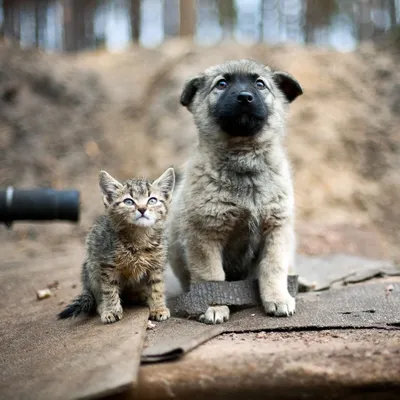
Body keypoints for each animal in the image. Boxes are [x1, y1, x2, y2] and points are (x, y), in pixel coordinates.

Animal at [57, 167, 175, 324]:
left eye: (152, 200)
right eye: (128, 201)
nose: (142, 209)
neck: (139, 238)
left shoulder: (157, 264)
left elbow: (157, 287)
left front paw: (158, 308)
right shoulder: (107, 265)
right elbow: (109, 289)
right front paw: (111, 310)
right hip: (91, 268)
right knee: (97, 295)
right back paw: (103, 306)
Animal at [169, 59, 304, 324]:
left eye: (260, 84)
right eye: (221, 84)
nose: (244, 97)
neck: (244, 161)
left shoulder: (276, 229)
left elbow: (273, 268)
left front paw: (278, 298)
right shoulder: (204, 235)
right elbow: (211, 276)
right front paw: (214, 306)